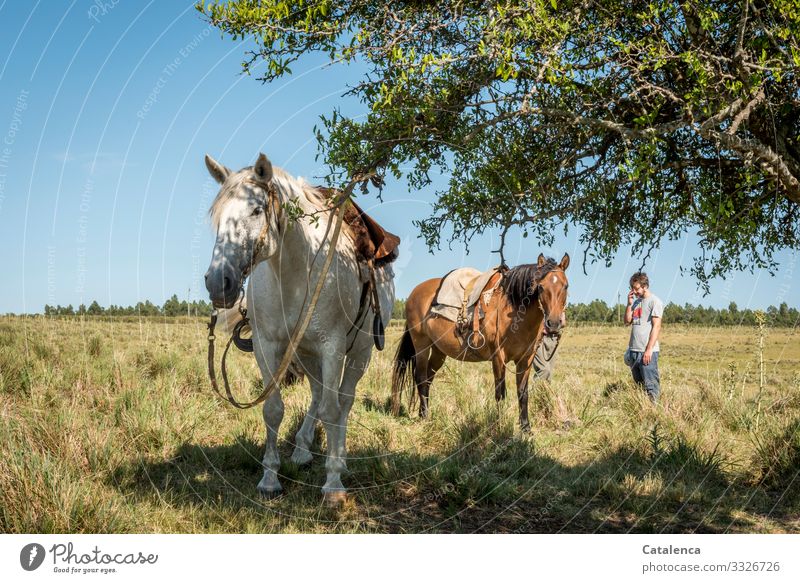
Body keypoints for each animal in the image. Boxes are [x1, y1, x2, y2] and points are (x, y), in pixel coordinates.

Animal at [203, 153, 396, 504]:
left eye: (256, 210)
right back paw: (304, 450)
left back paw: (340, 459)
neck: (294, 271)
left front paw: (333, 485)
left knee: (343, 401)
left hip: (358, 353)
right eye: (218, 216)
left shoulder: (333, 347)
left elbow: (333, 410)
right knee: (318, 395)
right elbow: (273, 409)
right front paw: (269, 478)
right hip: (307, 353)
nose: (218, 282)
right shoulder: (267, 345)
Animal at [392, 253, 568, 432]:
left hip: (438, 351)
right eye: (541, 287)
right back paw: (425, 416)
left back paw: (424, 414)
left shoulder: (526, 360)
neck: (514, 312)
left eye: (565, 286)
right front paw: (500, 426)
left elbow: (523, 393)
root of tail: (415, 292)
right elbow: (500, 393)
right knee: (420, 378)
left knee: (428, 378)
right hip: (421, 345)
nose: (554, 323)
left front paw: (525, 428)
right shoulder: (498, 358)